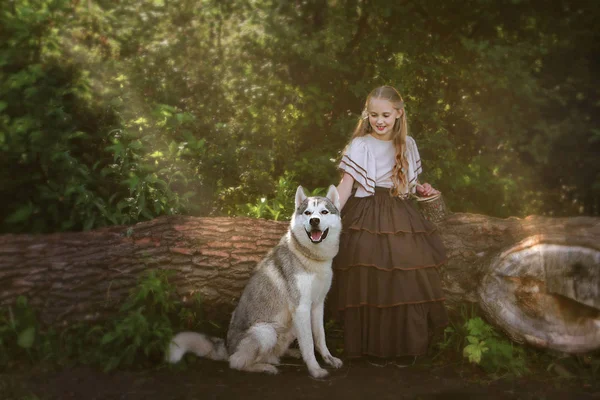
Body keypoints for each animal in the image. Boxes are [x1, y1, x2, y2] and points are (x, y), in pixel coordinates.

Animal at [166, 184, 344, 378]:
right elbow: (309, 344)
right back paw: (264, 367)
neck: (312, 258)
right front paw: (315, 369)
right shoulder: (301, 307)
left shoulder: (317, 305)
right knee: (236, 362)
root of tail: (227, 347)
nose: (314, 221)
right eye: (308, 212)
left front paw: (329, 359)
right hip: (266, 331)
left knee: (271, 355)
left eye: (324, 212)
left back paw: (285, 355)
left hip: (288, 328)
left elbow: (320, 338)